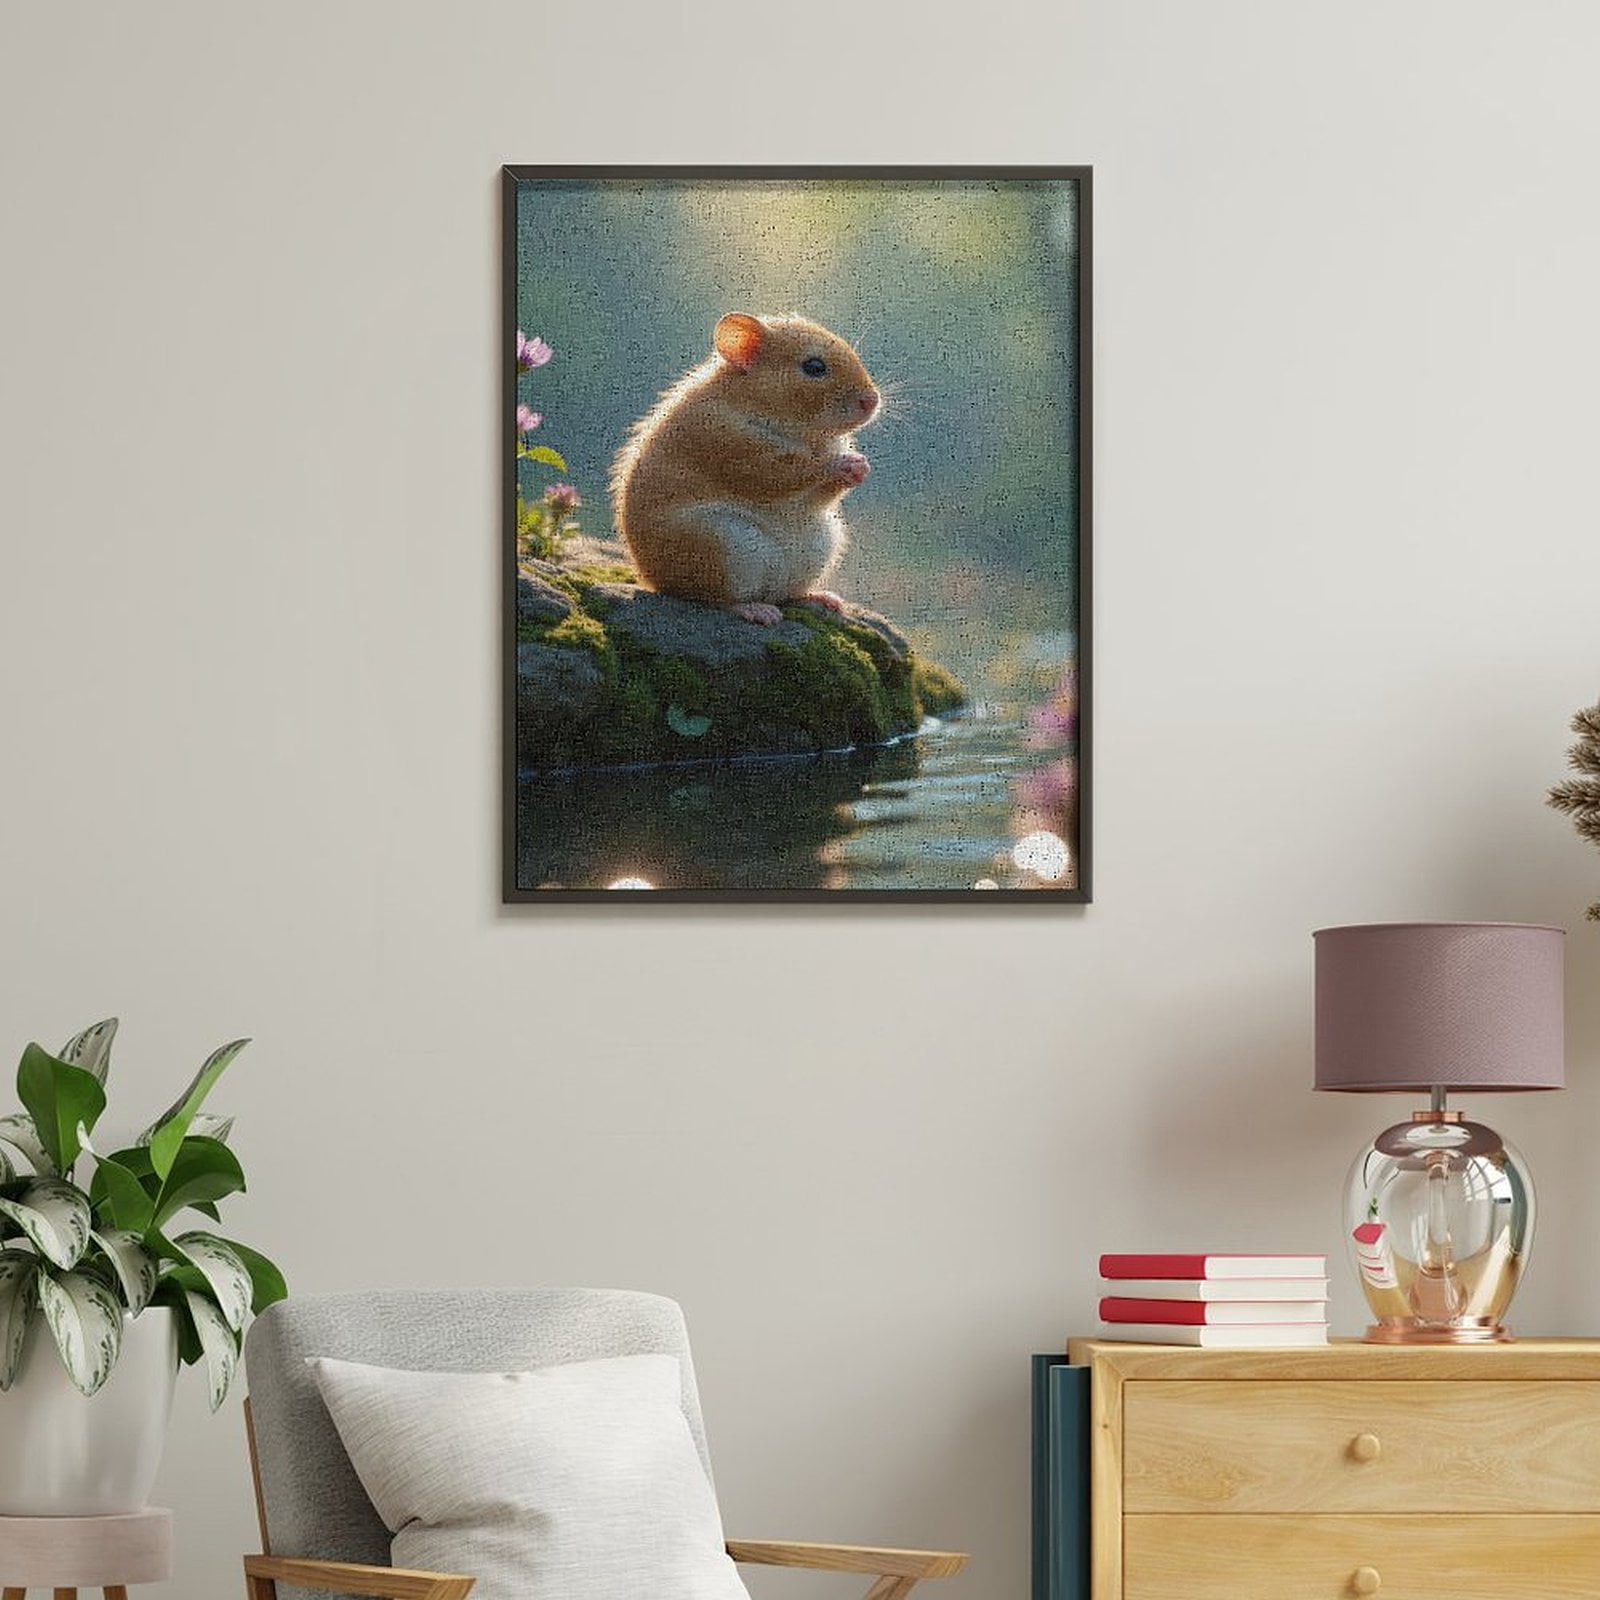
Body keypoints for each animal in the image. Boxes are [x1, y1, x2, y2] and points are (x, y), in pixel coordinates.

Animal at [610, 313, 881, 625]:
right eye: (814, 367)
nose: (872, 401)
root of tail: (653, 582)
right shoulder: (732, 446)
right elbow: (785, 472)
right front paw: (841, 464)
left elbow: (821, 495)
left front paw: (860, 468)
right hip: (722, 545)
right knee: (711, 598)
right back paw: (755, 609)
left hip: (821, 544)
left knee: (787, 594)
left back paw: (819, 599)